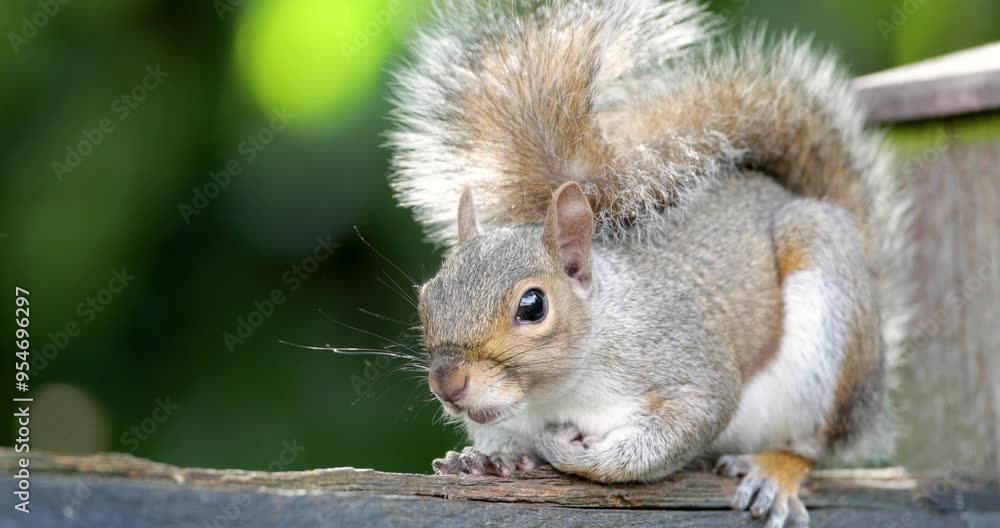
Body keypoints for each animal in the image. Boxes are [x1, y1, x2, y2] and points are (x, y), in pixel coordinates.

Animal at [387, 1, 911, 527]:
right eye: (426, 299)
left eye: (533, 306)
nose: (448, 383)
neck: (557, 391)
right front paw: (484, 456)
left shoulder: (682, 360)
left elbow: (677, 429)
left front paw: (577, 455)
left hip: (828, 328)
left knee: (813, 441)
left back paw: (775, 472)